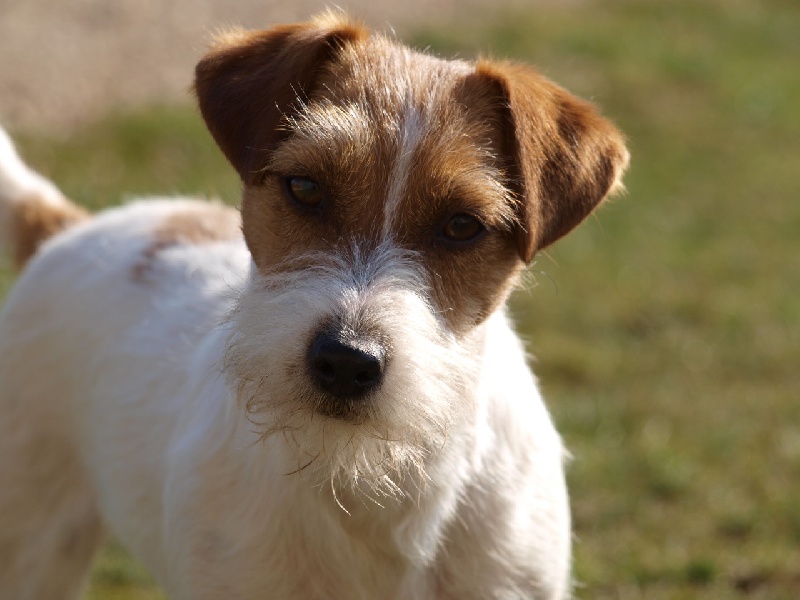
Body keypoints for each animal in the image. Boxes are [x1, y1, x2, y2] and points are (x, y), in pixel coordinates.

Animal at [0, 13, 628, 600]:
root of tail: (66, 226)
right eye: (304, 187)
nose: (346, 362)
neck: (367, 480)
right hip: (31, 546)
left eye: (461, 225)